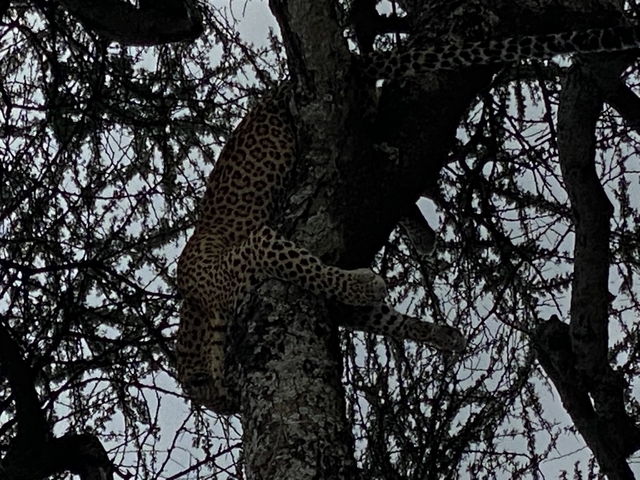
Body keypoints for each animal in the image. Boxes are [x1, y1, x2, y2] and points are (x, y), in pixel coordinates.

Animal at [176, 24, 640, 415]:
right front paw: (442, 335)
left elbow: (305, 267)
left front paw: (365, 283)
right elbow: (387, 320)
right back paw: (423, 233)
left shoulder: (257, 246)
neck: (198, 315)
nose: (232, 404)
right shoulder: (344, 313)